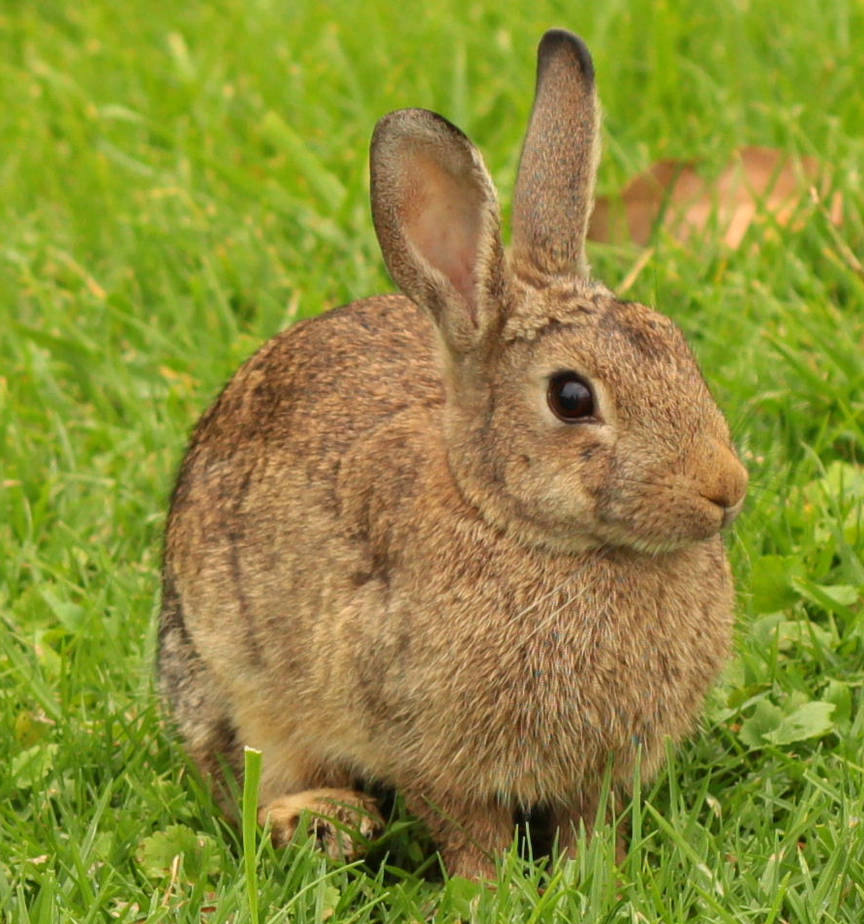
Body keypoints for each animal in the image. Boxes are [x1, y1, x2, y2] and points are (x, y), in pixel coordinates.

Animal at [158, 28, 748, 881]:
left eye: (674, 343)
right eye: (572, 398)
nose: (725, 489)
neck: (517, 524)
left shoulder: (599, 772)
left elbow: (589, 821)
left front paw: (592, 878)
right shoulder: (424, 745)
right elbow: (470, 829)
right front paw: (494, 890)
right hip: (240, 686)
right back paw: (326, 822)